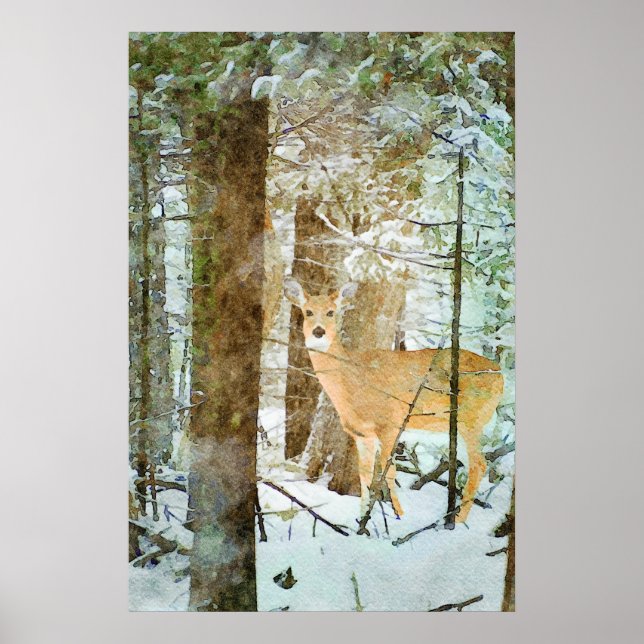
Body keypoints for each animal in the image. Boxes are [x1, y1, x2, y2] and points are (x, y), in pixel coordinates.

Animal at [284, 278, 504, 523]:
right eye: (308, 311)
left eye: (331, 312)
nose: (318, 331)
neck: (352, 381)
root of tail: (500, 374)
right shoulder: (362, 434)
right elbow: (364, 476)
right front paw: (361, 519)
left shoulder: (390, 423)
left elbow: (389, 473)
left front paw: (400, 516)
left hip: (471, 418)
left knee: (478, 464)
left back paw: (458, 520)